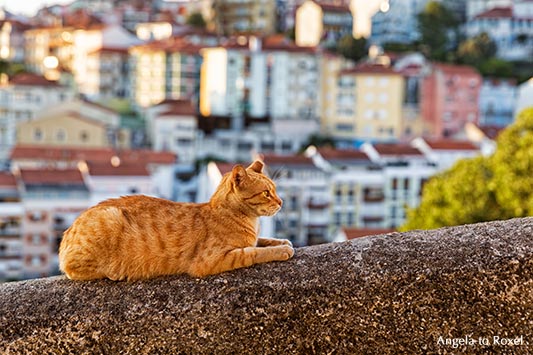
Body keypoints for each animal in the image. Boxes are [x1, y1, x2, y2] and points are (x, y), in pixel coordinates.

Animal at [58, 161, 294, 280]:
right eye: (266, 193)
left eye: (274, 189)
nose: (282, 202)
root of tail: (68, 232)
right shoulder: (212, 260)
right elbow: (254, 252)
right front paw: (281, 250)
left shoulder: (253, 238)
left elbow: (262, 240)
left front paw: (282, 241)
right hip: (109, 218)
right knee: (72, 270)